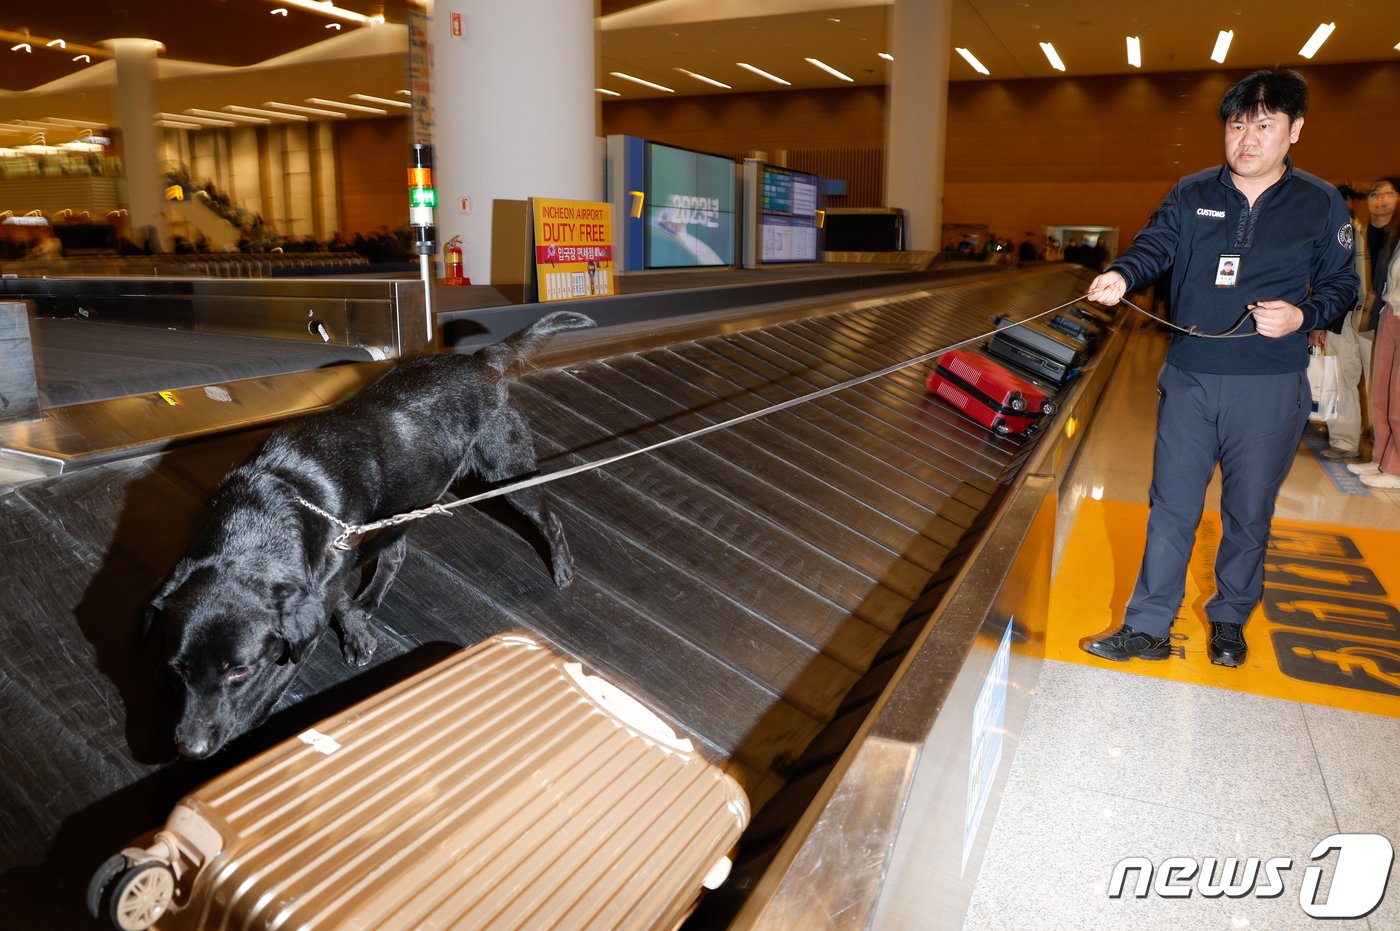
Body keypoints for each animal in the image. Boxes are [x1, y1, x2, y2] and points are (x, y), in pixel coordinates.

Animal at [149, 308, 596, 761]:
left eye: (240, 669)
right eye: (176, 667)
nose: (189, 748)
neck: (268, 508)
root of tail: (480, 360)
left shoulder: (312, 608)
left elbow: (273, 682)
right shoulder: (328, 572)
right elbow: (344, 600)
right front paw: (359, 628)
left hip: (508, 474)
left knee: (550, 521)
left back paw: (562, 570)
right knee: (395, 556)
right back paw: (370, 601)